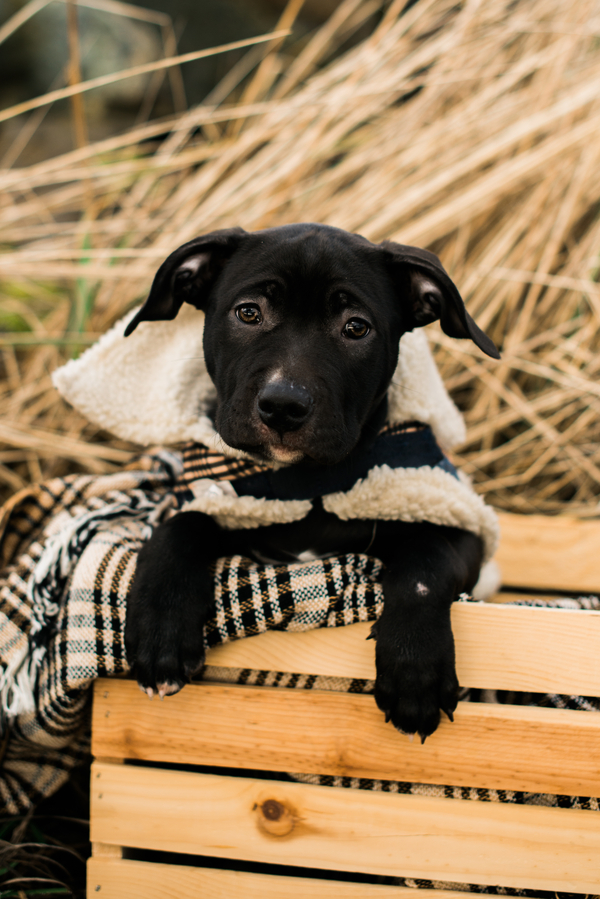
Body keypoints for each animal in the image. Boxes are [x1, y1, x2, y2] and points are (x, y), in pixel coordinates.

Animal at [123, 223, 499, 741]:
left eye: (356, 327)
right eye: (248, 312)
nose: (283, 406)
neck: (305, 482)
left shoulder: (463, 528)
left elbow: (428, 562)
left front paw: (414, 666)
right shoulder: (227, 505)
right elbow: (177, 527)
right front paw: (160, 628)